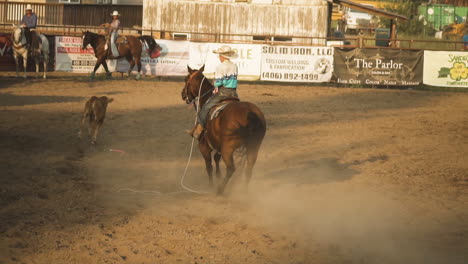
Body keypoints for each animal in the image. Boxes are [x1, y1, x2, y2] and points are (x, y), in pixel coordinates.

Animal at [181, 65, 266, 195]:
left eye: (186, 79)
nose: (182, 94)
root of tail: (251, 114)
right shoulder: (218, 144)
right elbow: (216, 158)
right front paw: (218, 175)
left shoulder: (204, 147)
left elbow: (209, 166)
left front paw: (211, 185)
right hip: (254, 146)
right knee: (248, 168)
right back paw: (244, 191)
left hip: (228, 148)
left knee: (231, 168)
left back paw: (219, 189)